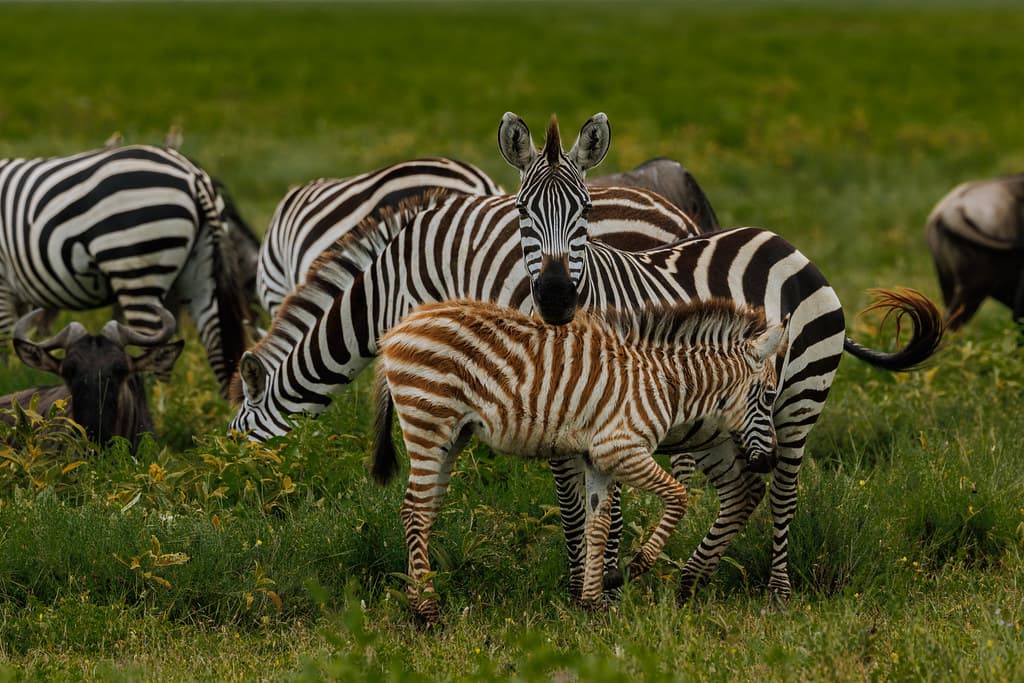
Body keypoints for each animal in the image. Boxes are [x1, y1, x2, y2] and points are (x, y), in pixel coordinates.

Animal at [0, 144, 250, 398]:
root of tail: (193, 174)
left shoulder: (3, 285)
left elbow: (5, 345)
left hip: (136, 267)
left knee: (155, 351)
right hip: (200, 273)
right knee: (217, 343)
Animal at [371, 298, 785, 624]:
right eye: (768, 396)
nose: (770, 461)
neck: (665, 385)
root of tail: (396, 329)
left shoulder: (597, 458)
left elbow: (597, 526)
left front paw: (592, 603)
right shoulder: (621, 449)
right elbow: (679, 497)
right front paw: (632, 568)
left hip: (451, 436)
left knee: (423, 511)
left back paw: (418, 601)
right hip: (429, 424)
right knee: (415, 511)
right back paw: (427, 612)